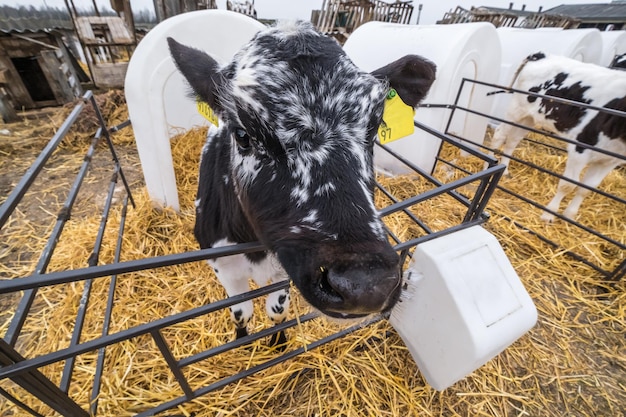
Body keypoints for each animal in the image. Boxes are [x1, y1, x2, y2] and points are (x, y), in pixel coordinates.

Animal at [168, 20, 436, 342]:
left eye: (373, 130)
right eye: (243, 135)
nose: (365, 284)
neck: (255, 249)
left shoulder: (282, 273)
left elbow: (276, 310)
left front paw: (278, 341)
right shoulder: (223, 266)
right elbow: (241, 311)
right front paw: (243, 339)